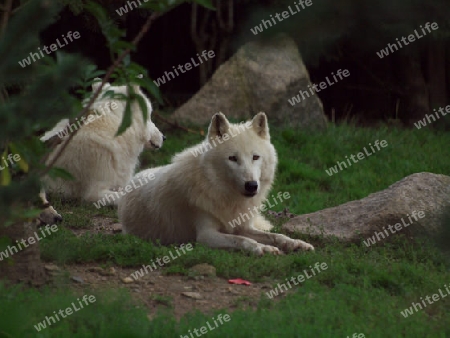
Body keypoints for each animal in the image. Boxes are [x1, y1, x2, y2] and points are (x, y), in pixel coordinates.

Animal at [118, 112, 314, 255]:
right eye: (233, 158)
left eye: (255, 157)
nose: (251, 185)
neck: (226, 196)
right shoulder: (205, 235)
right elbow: (243, 240)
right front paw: (263, 248)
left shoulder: (242, 226)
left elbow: (276, 235)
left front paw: (295, 243)